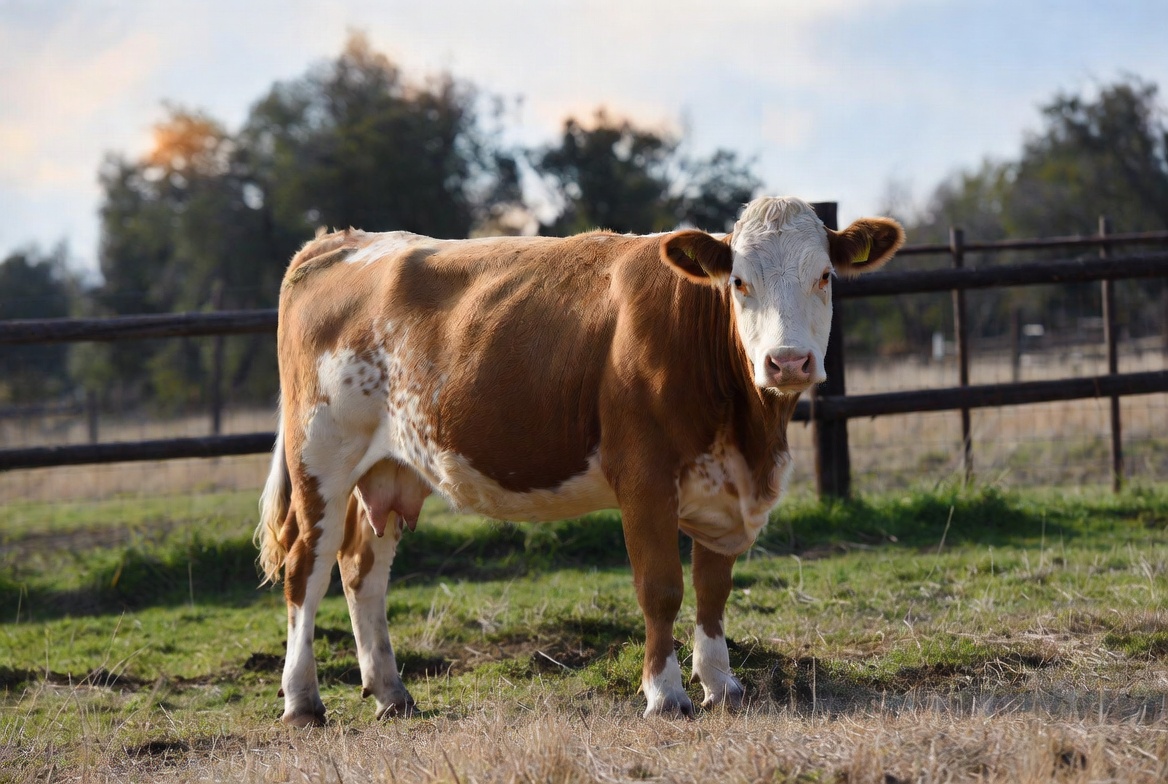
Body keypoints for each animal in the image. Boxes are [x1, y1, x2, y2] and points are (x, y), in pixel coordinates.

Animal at [256, 196, 904, 725]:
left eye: (824, 276)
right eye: (739, 282)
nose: (787, 362)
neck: (749, 433)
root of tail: (340, 240)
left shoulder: (725, 487)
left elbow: (713, 588)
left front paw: (722, 685)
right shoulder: (644, 477)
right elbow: (661, 587)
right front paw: (666, 694)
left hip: (389, 467)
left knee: (363, 569)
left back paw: (391, 693)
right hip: (321, 457)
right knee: (306, 568)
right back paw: (302, 701)